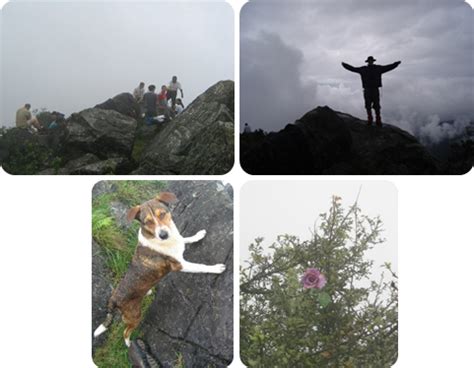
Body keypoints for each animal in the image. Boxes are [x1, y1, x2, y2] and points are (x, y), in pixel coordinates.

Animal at [94, 191, 226, 346]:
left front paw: (198, 235)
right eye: (148, 222)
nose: (163, 235)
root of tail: (113, 299)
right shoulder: (179, 265)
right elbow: (200, 266)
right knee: (126, 331)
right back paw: (129, 344)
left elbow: (186, 238)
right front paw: (216, 268)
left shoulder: (178, 242)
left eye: (162, 214)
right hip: (134, 316)